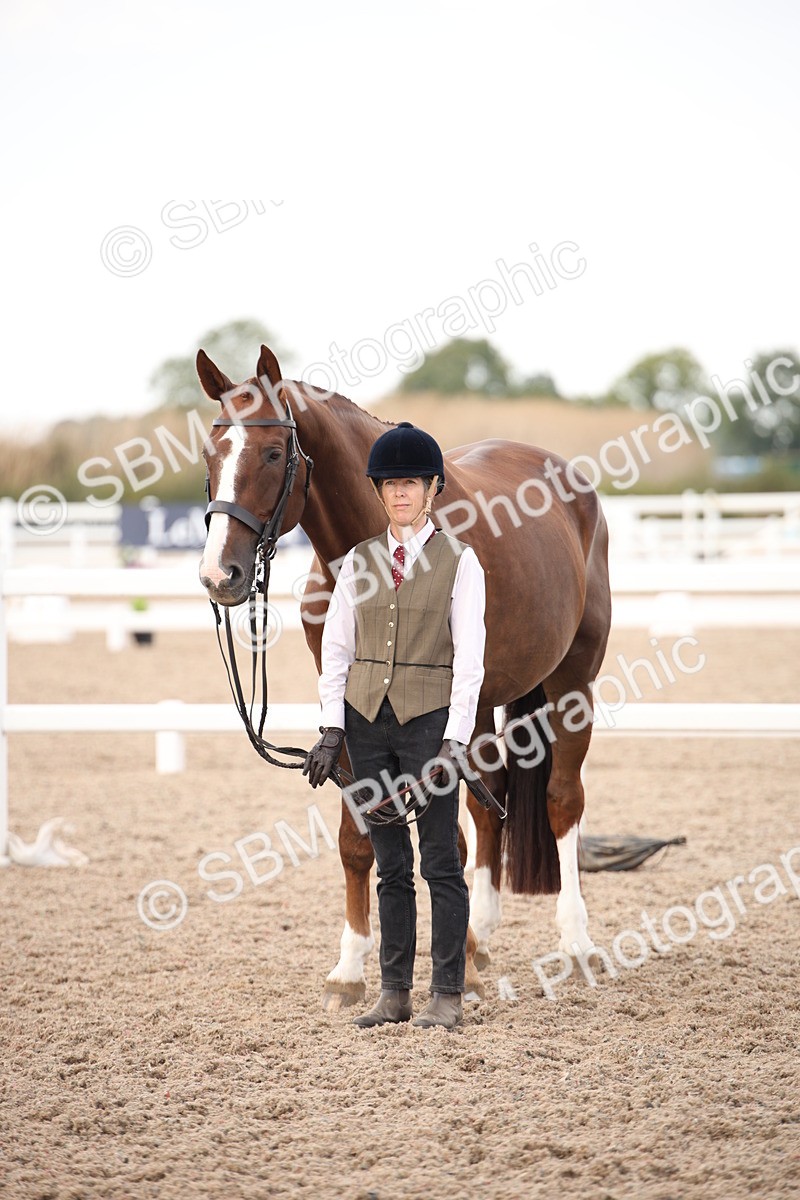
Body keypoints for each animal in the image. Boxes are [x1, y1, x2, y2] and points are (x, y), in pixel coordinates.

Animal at [197, 344, 612, 1009]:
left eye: (273, 452)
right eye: (211, 453)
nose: (220, 575)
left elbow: (451, 839)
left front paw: (455, 969)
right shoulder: (347, 705)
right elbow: (357, 839)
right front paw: (349, 969)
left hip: (573, 679)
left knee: (562, 800)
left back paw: (575, 944)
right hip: (486, 702)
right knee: (489, 802)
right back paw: (482, 933)